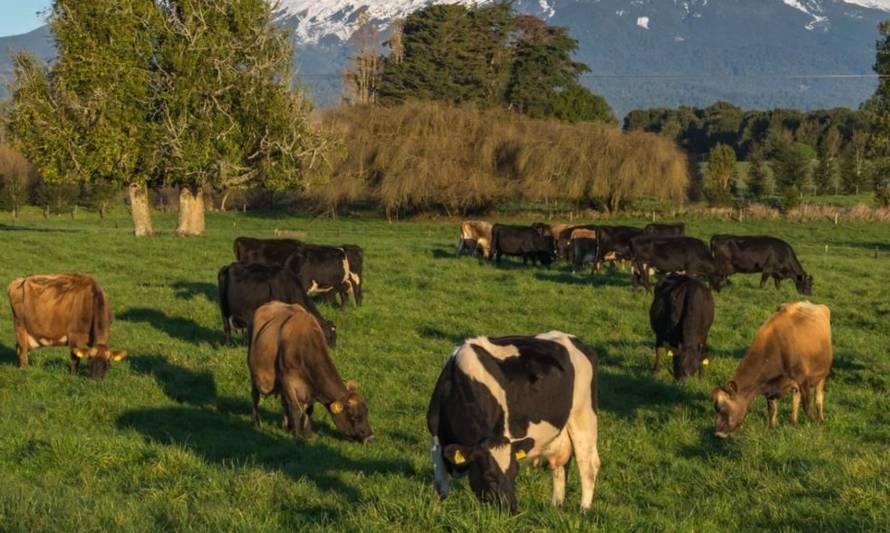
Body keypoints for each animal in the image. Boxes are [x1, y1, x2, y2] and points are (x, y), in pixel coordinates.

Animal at [246, 302, 372, 442]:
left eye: (366, 412)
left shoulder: (312, 388)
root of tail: (269, 304)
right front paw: (298, 436)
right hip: (253, 369)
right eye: (354, 417)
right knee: (255, 396)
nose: (370, 437)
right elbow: (295, 408)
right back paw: (256, 423)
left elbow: (309, 409)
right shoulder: (288, 381)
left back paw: (287, 426)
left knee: (283, 402)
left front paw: (306, 433)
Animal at [426, 332, 600, 512]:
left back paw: (583, 510)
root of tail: (571, 339)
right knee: (559, 466)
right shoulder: (435, 440)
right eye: (489, 476)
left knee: (588, 465)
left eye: (515, 472)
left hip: (583, 417)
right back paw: (555, 506)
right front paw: (436, 512)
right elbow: (440, 488)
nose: (512, 509)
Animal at [708, 300, 832, 436]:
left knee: (819, 398)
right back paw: (793, 423)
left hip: (822, 375)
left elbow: (807, 406)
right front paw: (772, 428)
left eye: (722, 407)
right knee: (795, 399)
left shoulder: (803, 379)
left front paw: (815, 425)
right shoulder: (769, 384)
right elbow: (772, 408)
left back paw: (820, 419)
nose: (718, 433)